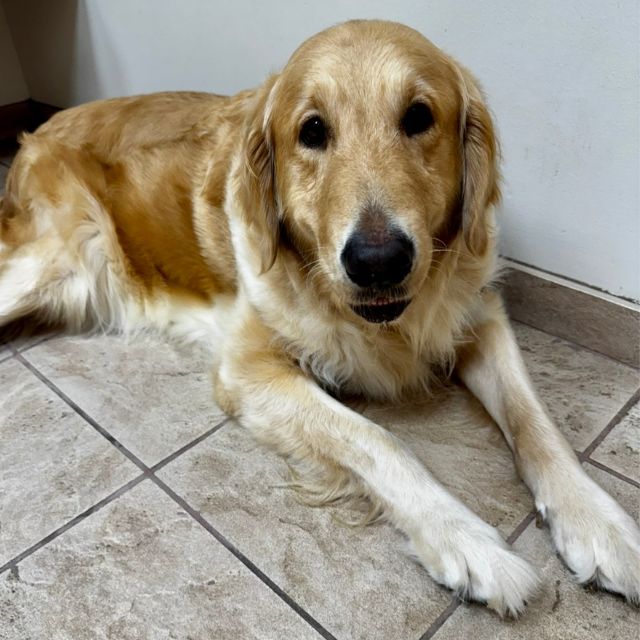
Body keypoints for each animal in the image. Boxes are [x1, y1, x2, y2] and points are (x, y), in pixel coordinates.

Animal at [1, 20, 638, 616]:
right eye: (312, 131)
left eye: (419, 117)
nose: (378, 262)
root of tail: (39, 130)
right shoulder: (250, 370)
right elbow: (378, 439)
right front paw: (469, 541)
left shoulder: (479, 316)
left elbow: (537, 423)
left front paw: (600, 523)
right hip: (49, 267)